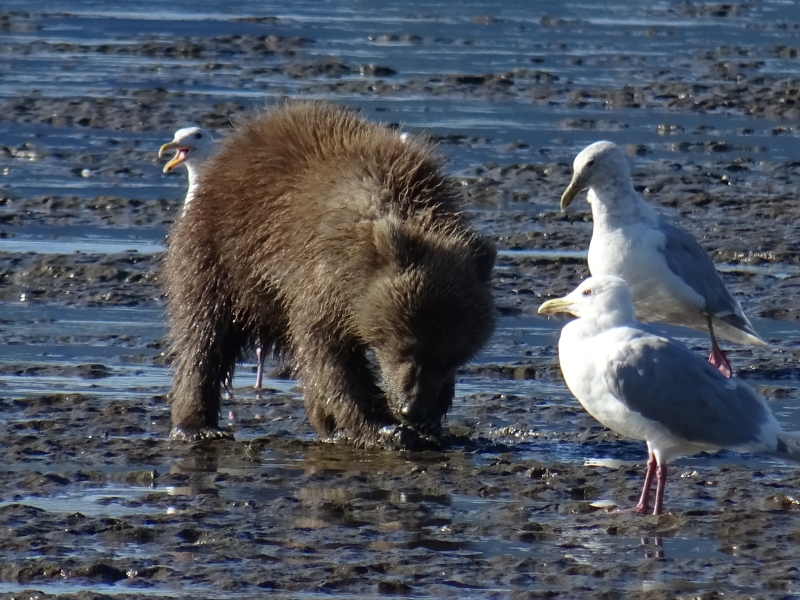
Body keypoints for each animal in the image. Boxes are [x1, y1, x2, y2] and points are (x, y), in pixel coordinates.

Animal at [163, 100, 496, 448]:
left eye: (451, 357)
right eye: (406, 346)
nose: (411, 409)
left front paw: (428, 422)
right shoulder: (321, 277)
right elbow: (329, 355)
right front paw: (378, 426)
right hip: (222, 251)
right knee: (203, 333)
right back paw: (198, 424)